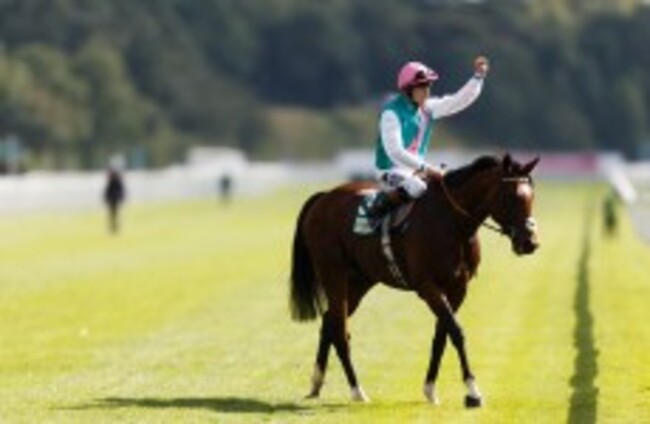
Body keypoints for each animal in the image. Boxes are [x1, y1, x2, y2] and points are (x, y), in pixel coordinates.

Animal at [289, 153, 540, 407]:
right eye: (511, 196)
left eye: (532, 195)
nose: (530, 242)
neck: (452, 224)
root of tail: (323, 197)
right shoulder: (428, 286)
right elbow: (456, 332)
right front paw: (473, 391)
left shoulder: (458, 288)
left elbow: (442, 336)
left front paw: (430, 389)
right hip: (333, 274)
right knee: (340, 330)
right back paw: (357, 390)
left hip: (360, 281)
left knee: (329, 321)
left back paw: (316, 383)